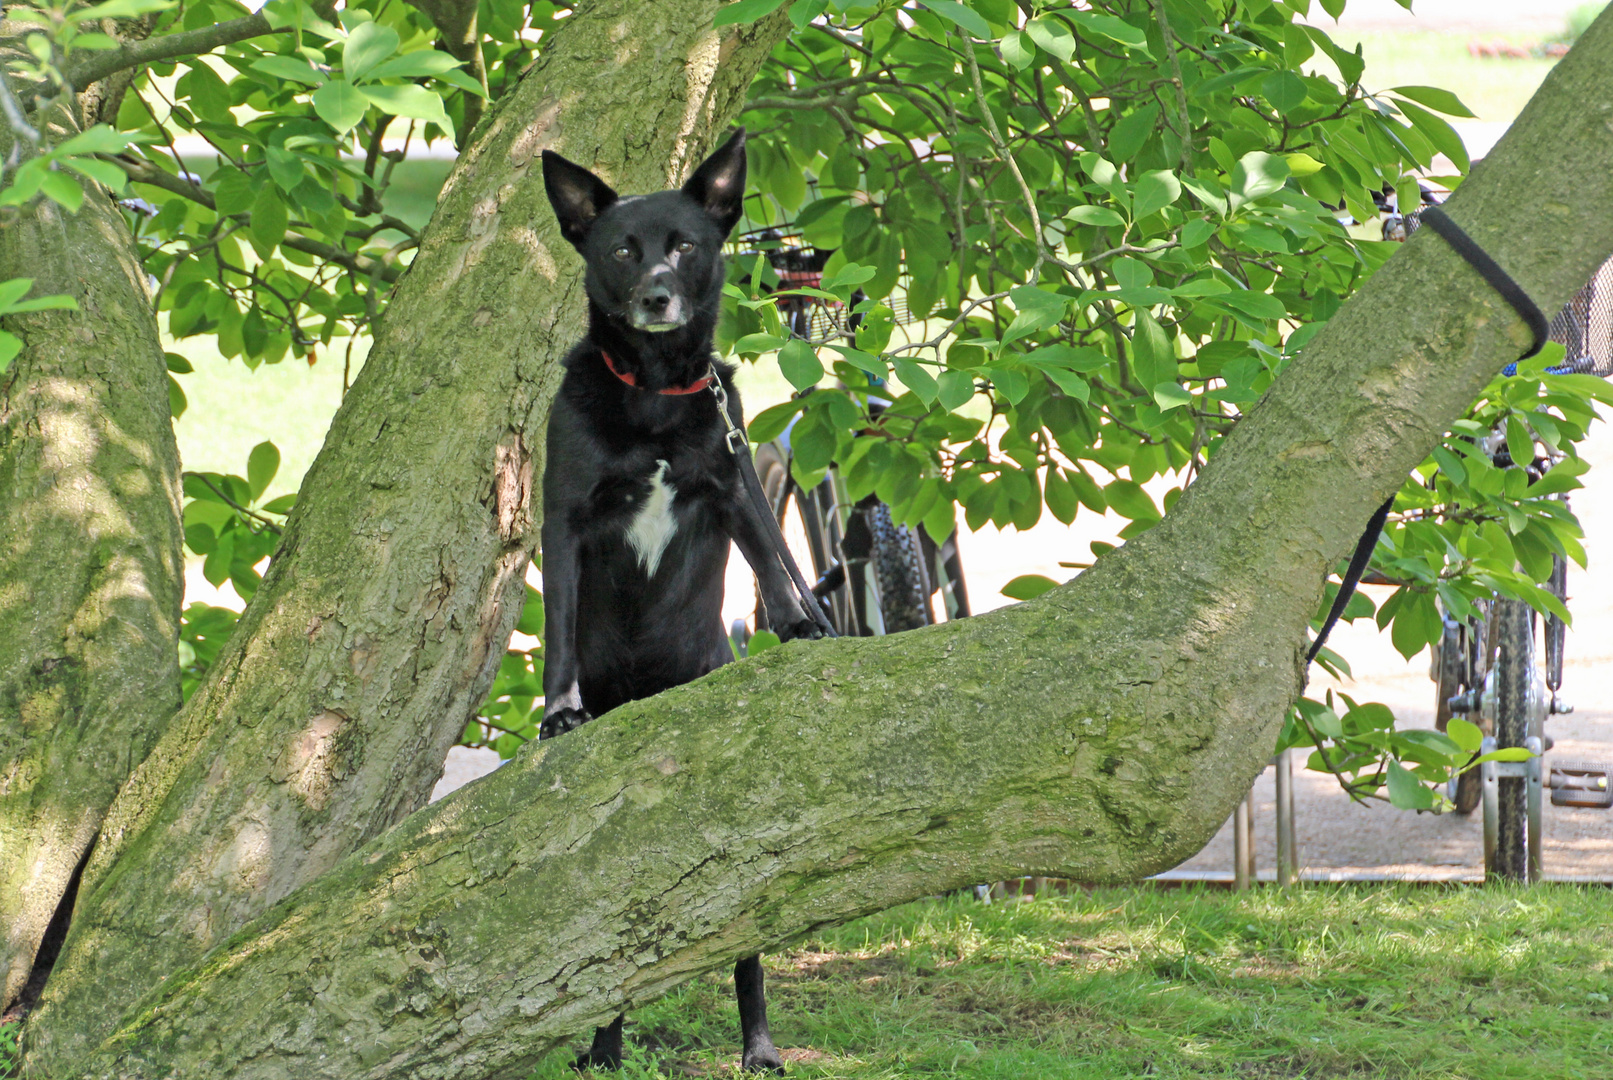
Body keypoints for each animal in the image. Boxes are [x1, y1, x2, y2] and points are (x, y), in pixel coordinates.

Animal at [541, 128, 819, 1076]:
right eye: (622, 249)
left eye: (687, 245)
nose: (656, 297)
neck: (657, 391)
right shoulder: (564, 520)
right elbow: (555, 633)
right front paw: (558, 713)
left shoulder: (731, 488)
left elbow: (773, 567)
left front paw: (804, 628)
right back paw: (603, 1048)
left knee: (745, 954)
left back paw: (761, 1047)